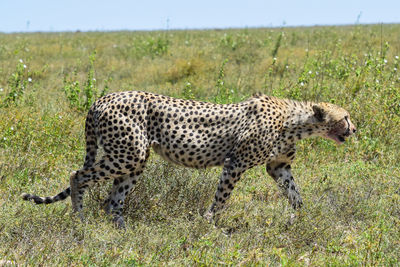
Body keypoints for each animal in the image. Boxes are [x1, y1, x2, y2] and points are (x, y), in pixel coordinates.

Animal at [21, 91, 356, 228]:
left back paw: (123, 232)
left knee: (112, 200)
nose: (355, 129)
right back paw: (79, 220)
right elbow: (222, 198)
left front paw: (300, 219)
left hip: (134, 160)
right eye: (345, 117)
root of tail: (102, 98)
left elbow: (296, 196)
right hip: (127, 153)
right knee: (78, 175)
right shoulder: (235, 163)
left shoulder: (278, 166)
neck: (295, 121)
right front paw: (209, 223)